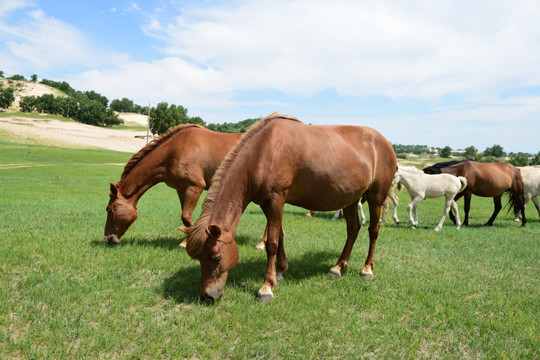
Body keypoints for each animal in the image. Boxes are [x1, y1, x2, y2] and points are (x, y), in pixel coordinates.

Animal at [103, 124, 240, 245]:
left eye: (110, 210)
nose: (108, 238)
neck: (172, 152)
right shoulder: (181, 189)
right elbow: (185, 218)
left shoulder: (194, 187)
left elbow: (186, 217)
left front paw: (187, 243)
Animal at [186, 112, 396, 300]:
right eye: (198, 258)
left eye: (216, 257)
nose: (207, 296)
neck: (264, 151)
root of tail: (385, 142)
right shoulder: (267, 204)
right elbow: (279, 235)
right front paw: (280, 272)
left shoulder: (277, 198)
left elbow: (272, 243)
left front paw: (266, 287)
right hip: (351, 199)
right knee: (353, 229)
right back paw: (337, 268)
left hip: (376, 197)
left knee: (373, 231)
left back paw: (367, 269)